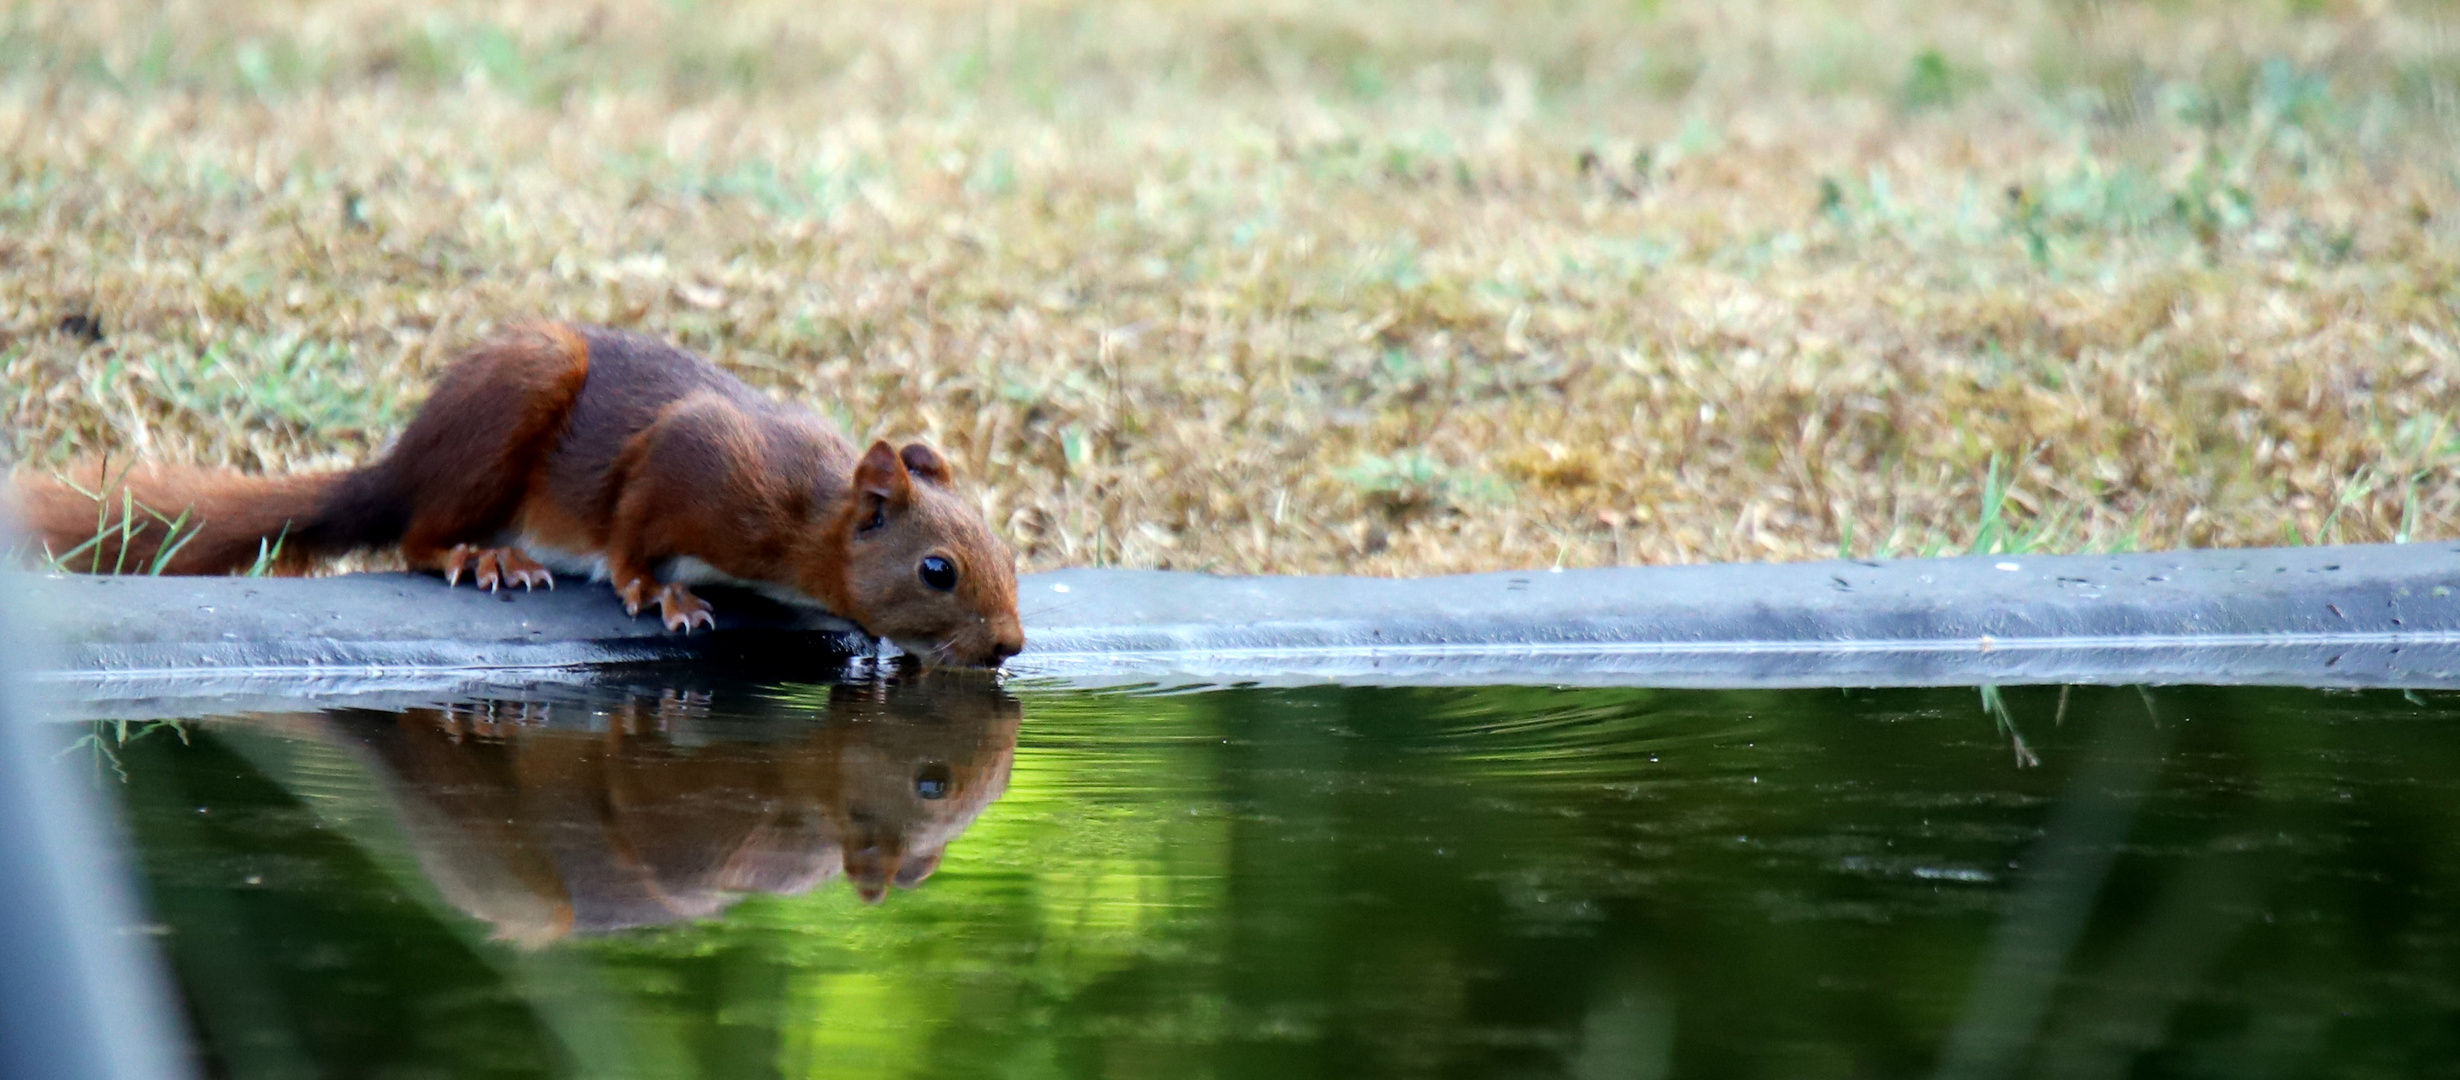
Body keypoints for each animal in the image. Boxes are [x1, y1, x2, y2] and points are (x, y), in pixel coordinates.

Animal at [14, 322, 1023, 669]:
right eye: (938, 570)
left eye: (1011, 552)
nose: (1011, 646)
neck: (808, 523)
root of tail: (406, 458)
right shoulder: (701, 462)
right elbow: (633, 528)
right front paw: (658, 594)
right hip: (510, 411)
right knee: (415, 536)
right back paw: (485, 556)